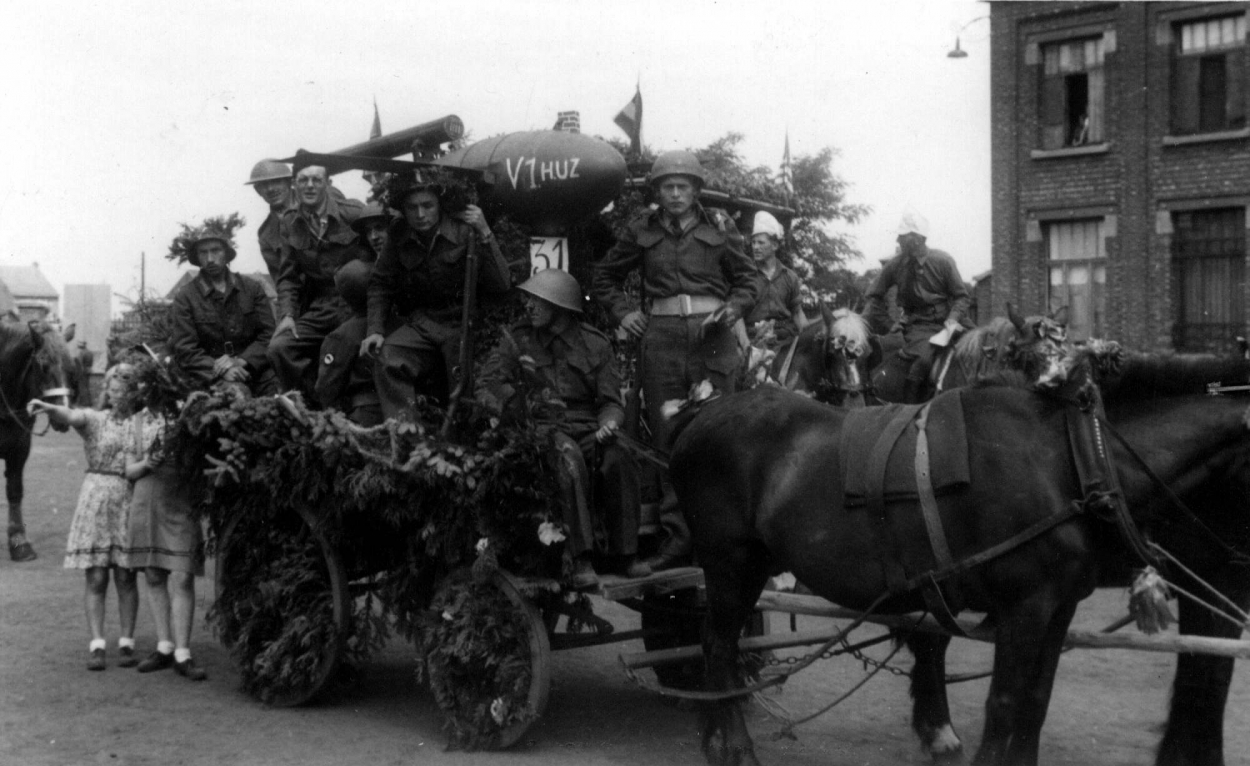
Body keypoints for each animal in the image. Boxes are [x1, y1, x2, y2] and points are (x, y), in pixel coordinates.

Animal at [0, 316, 73, 562]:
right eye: (42, 364)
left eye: (70, 365)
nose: (63, 415)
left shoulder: (19, 448)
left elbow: (15, 490)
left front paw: (18, 541)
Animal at [675, 367, 1250, 759]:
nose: (1238, 564)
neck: (1075, 460)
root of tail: (701, 416)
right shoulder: (1024, 607)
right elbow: (1004, 705)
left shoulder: (1058, 606)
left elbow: (1035, 701)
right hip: (731, 564)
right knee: (718, 645)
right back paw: (735, 745)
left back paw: (713, 732)